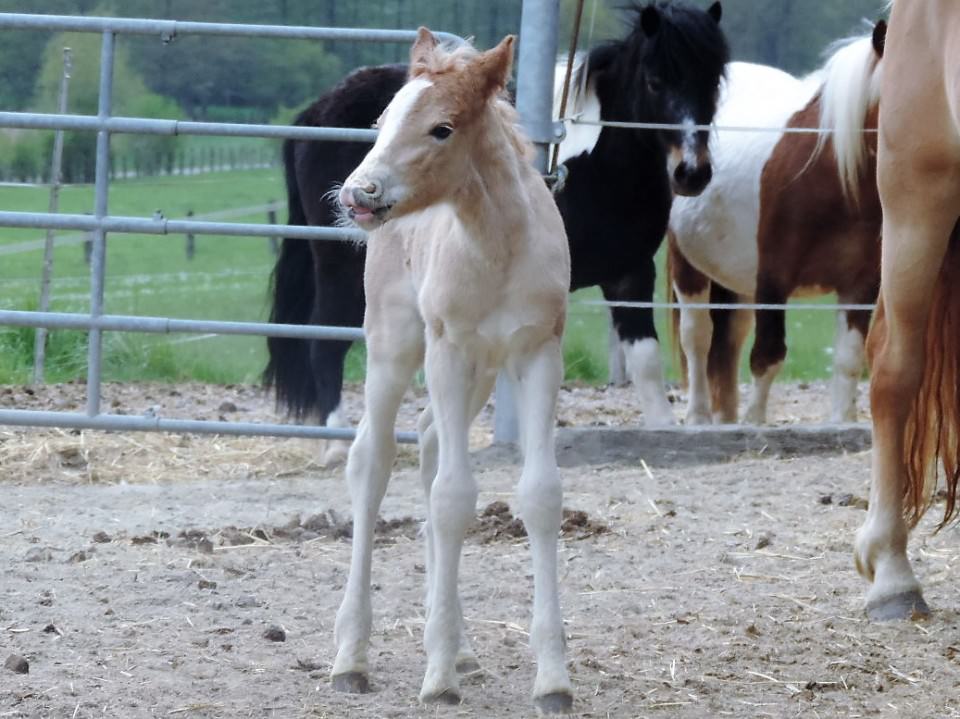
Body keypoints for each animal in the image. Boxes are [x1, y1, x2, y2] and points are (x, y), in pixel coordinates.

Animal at [262, 1, 728, 456]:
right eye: (654, 81)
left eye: (714, 81)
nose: (692, 173)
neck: (597, 163)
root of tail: (316, 111)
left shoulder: (630, 275)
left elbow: (646, 362)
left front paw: (663, 429)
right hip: (341, 269)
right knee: (324, 344)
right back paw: (336, 444)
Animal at [330, 31, 572, 712]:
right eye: (380, 121)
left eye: (442, 128)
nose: (359, 194)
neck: (497, 246)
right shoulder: (447, 348)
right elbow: (452, 497)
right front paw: (437, 678)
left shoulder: (537, 352)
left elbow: (538, 494)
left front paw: (553, 679)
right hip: (396, 344)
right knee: (374, 457)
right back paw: (352, 657)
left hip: (482, 371)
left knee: (435, 443)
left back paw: (461, 647)